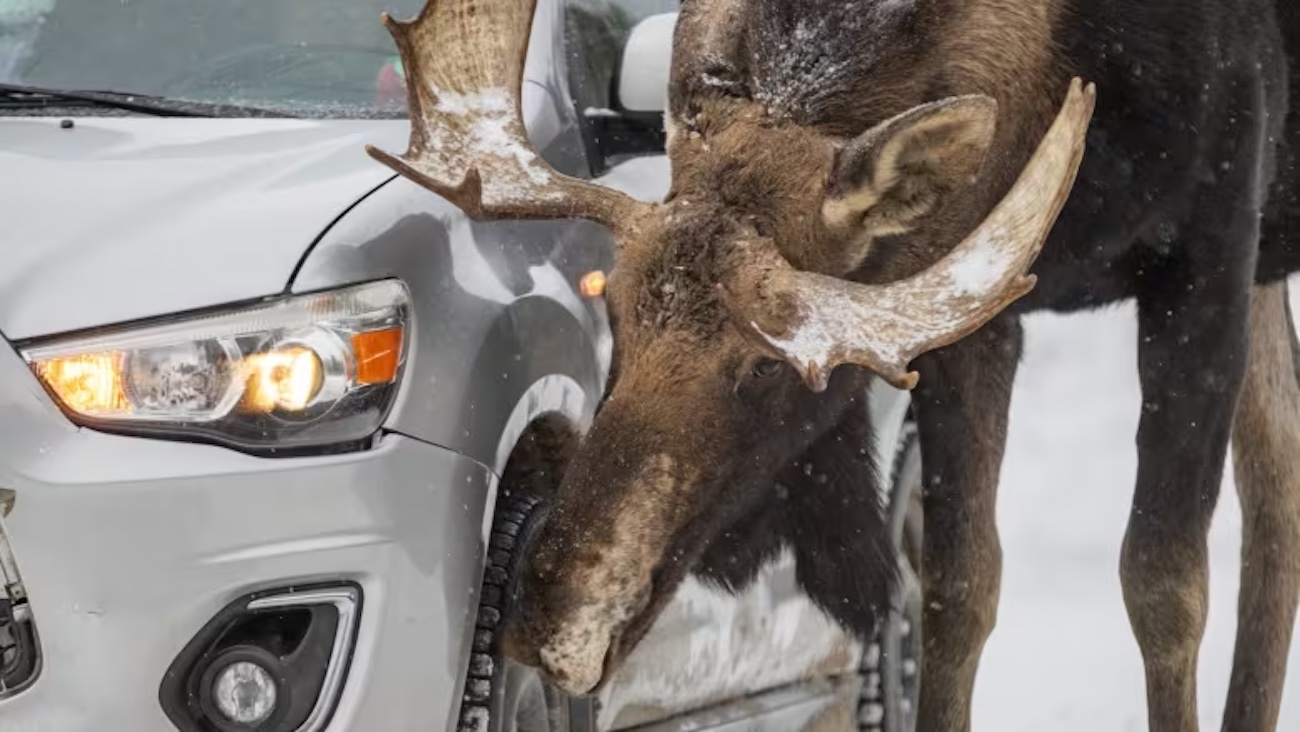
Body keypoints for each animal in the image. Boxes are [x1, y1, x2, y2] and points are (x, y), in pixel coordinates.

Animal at [367, 0, 1300, 730]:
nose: (547, 611)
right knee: (1278, 488)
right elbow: (959, 587)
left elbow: (1165, 581)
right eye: (614, 304)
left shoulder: (1212, 251)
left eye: (765, 366)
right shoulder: (976, 308)